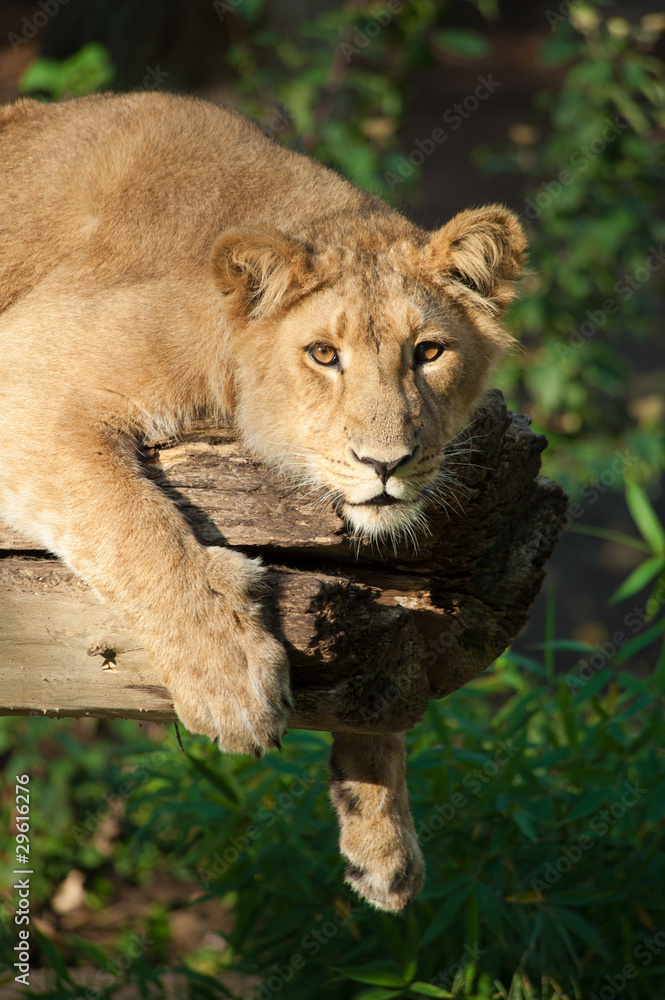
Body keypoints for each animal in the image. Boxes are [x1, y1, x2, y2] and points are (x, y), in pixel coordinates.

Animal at [0, 91, 525, 912]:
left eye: (429, 352)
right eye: (323, 355)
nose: (386, 463)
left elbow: (386, 683)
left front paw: (382, 835)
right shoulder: (25, 383)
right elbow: (137, 529)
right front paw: (232, 685)